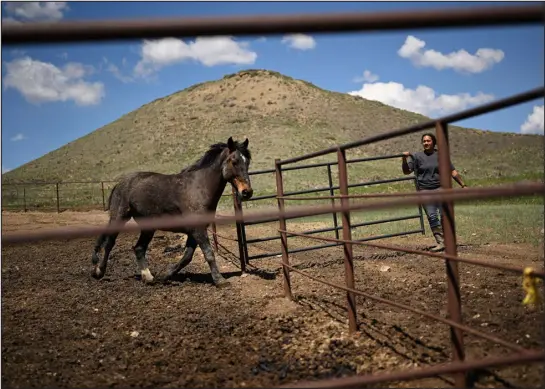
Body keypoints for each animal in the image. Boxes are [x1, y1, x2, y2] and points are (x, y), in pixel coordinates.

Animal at [91, 135, 253, 286]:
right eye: (234, 161)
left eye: (247, 162)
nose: (247, 192)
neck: (198, 189)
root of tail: (119, 183)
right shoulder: (198, 230)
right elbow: (208, 253)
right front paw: (220, 280)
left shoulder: (194, 232)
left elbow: (187, 257)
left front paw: (165, 275)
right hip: (119, 217)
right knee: (109, 243)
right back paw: (98, 272)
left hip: (148, 227)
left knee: (139, 248)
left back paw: (149, 278)